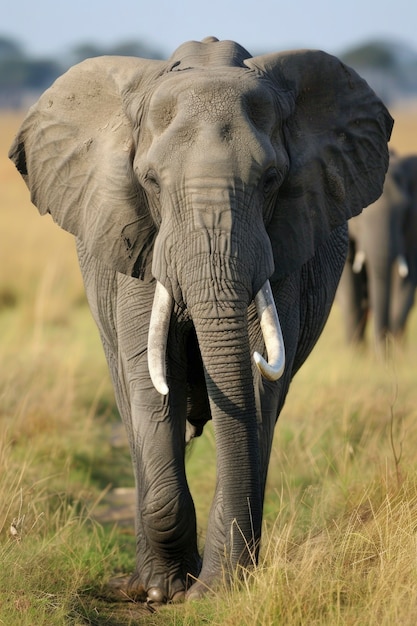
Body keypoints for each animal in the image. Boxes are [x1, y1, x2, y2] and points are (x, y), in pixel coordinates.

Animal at [8, 36, 394, 604]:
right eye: (149, 181)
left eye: (272, 180)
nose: (203, 588)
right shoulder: (139, 243)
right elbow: (152, 376)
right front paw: (161, 592)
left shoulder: (281, 245)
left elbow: (256, 384)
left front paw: (218, 590)